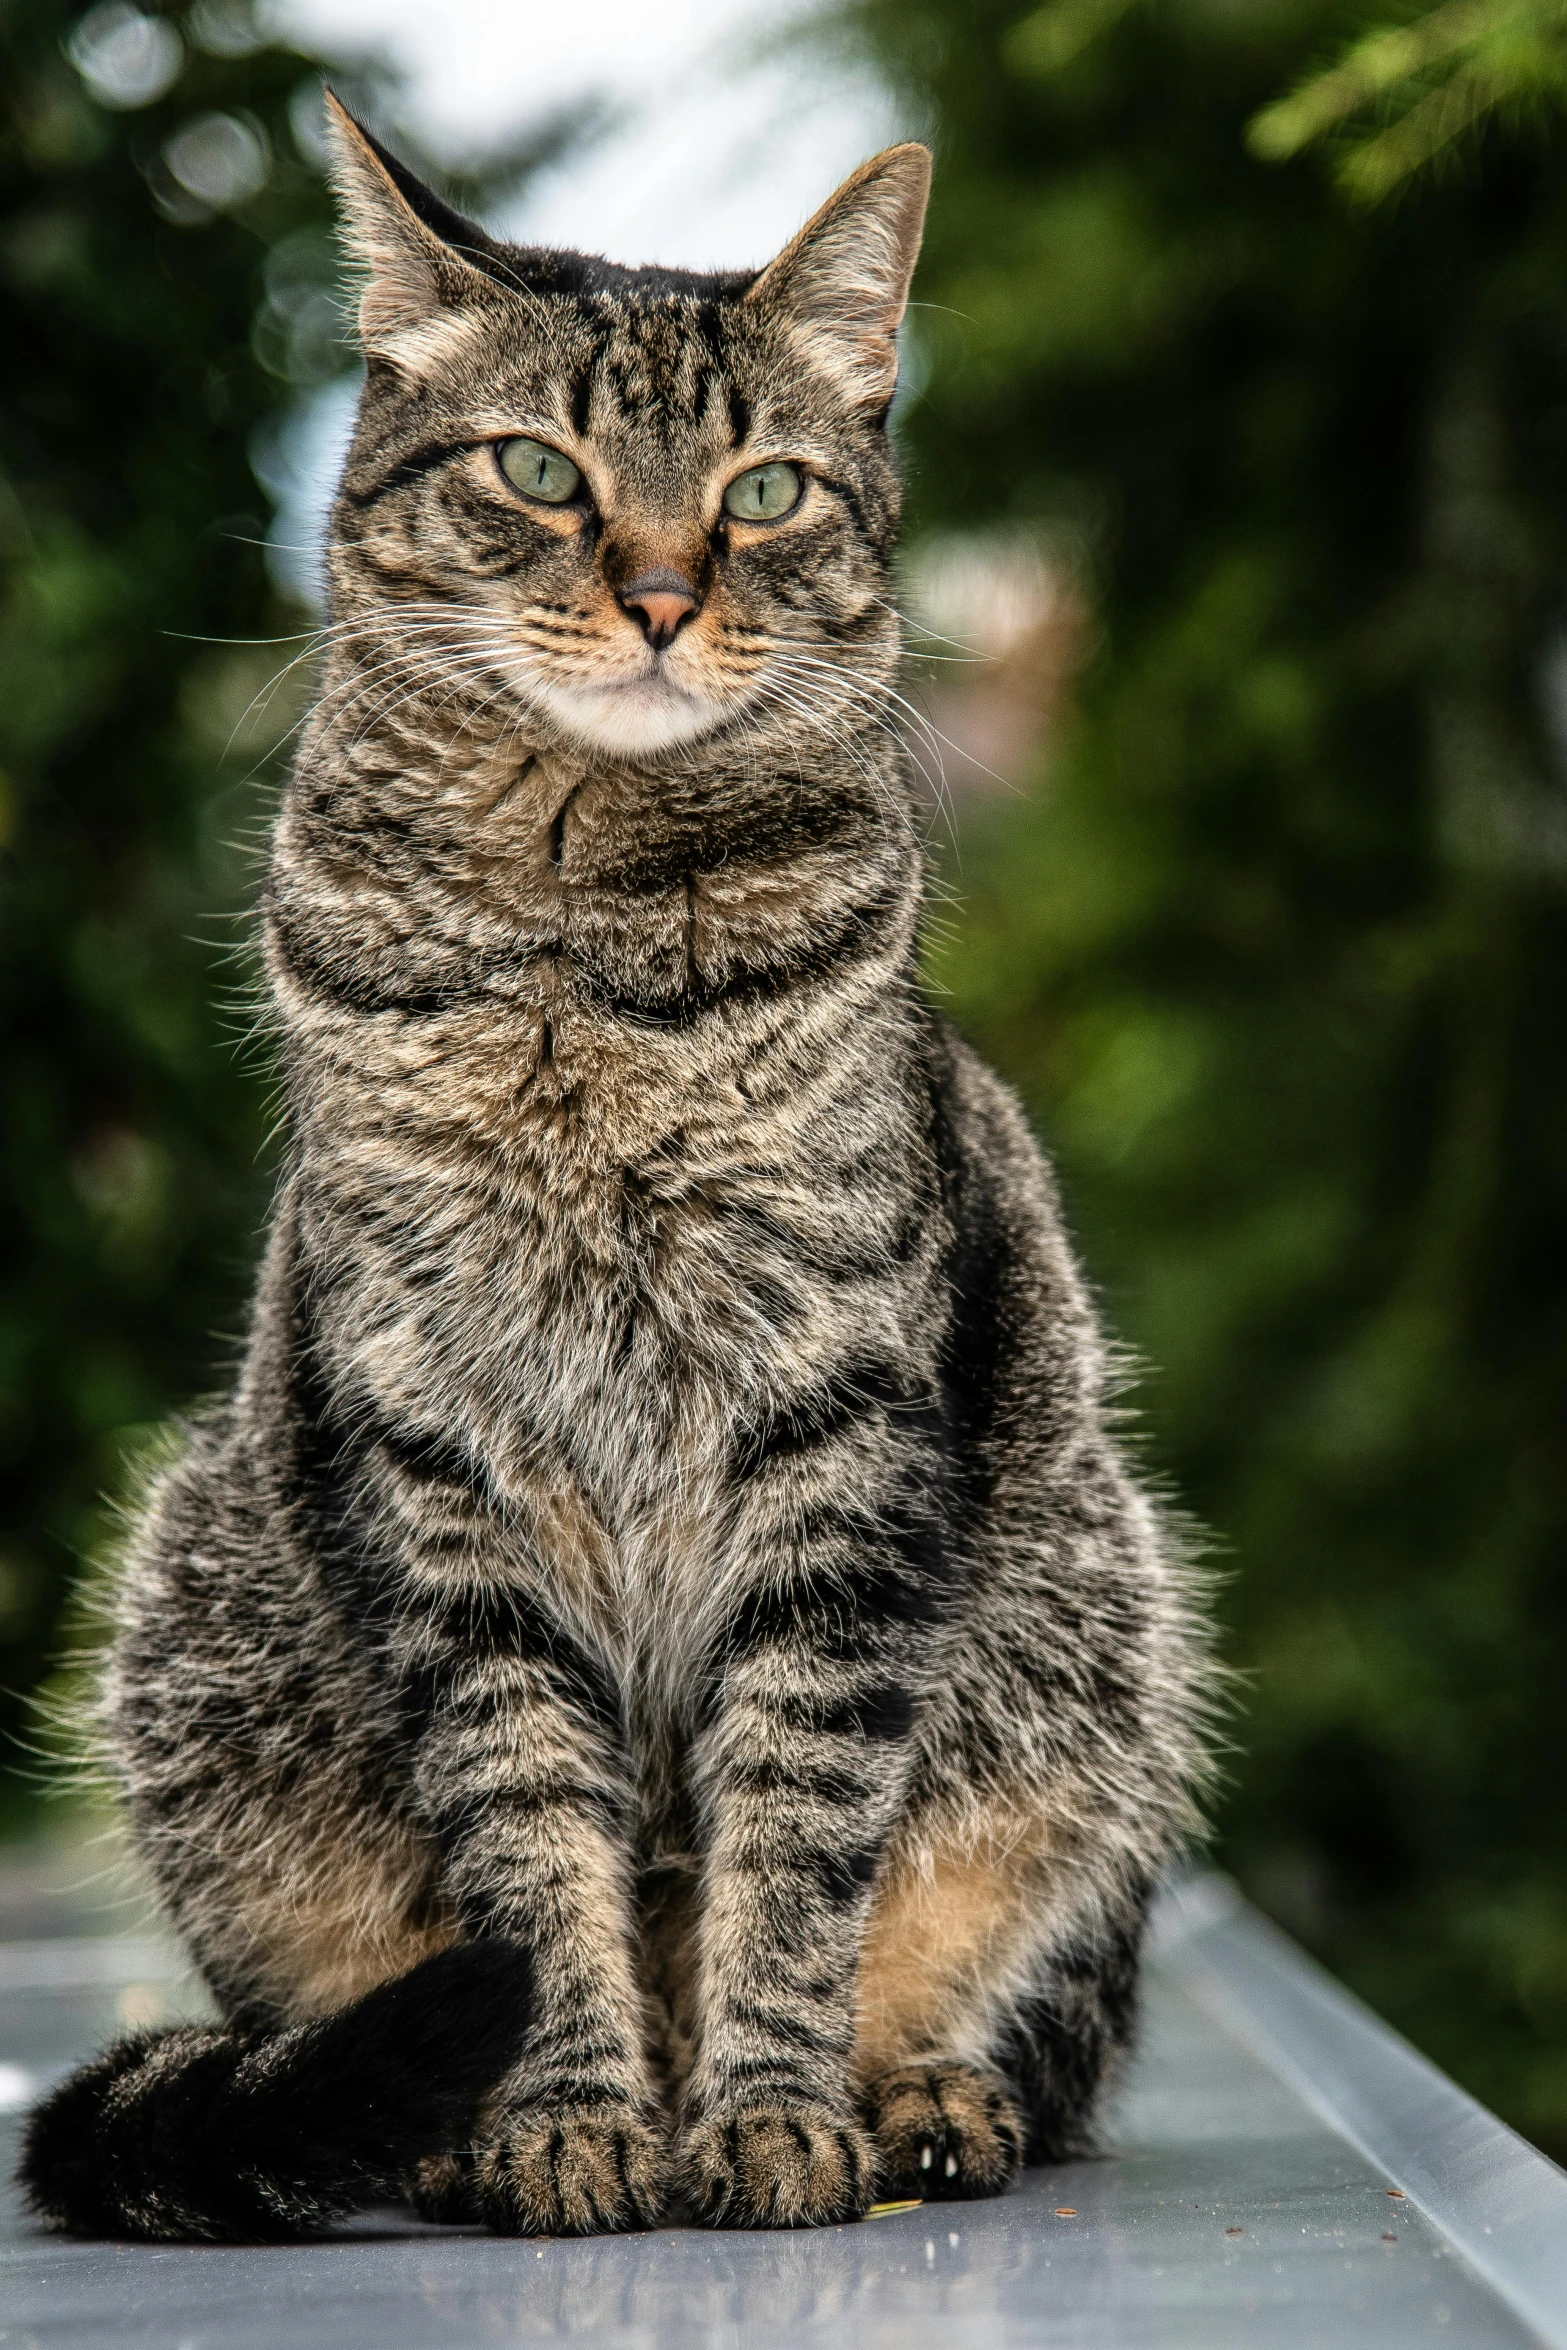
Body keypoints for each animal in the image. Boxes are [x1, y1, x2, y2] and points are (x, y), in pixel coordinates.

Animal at [15, 105, 1212, 2237]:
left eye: (764, 490)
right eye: (537, 471)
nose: (659, 591)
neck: (578, 955)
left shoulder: (837, 1425)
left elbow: (793, 1841)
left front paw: (766, 2115)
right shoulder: (440, 1453)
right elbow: (530, 1847)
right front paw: (572, 2114)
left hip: (1093, 1614)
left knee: (1002, 1980)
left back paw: (920, 2092)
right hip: (199, 1603)